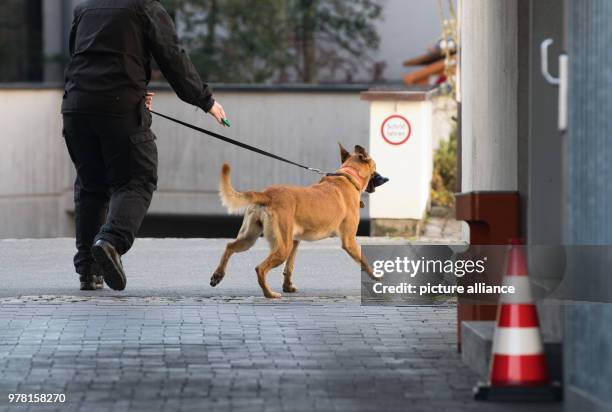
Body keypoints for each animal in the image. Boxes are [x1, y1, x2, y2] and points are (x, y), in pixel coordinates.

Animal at [213, 144, 380, 296]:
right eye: (375, 166)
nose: (383, 178)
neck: (348, 176)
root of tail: (267, 194)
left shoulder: (295, 240)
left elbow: (289, 267)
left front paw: (288, 286)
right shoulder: (349, 241)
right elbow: (364, 260)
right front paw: (377, 276)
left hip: (250, 238)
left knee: (229, 247)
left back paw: (218, 275)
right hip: (282, 248)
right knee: (260, 268)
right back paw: (269, 294)